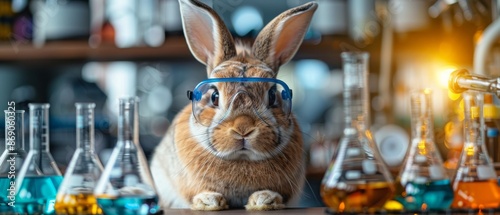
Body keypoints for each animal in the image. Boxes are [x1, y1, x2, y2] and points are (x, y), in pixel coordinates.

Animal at [150, 0, 318, 211]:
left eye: (272, 95)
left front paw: (265, 199)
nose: (243, 129)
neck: (241, 158)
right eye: (214, 96)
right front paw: (209, 200)